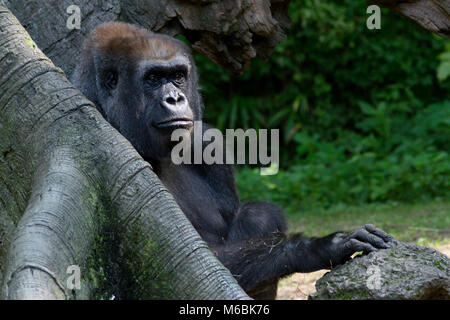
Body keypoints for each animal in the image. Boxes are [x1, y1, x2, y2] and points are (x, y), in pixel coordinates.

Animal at [72, 22, 392, 300]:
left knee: (258, 214)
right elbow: (190, 262)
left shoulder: (206, 140)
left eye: (177, 76)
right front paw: (317, 247)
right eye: (152, 79)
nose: (175, 99)